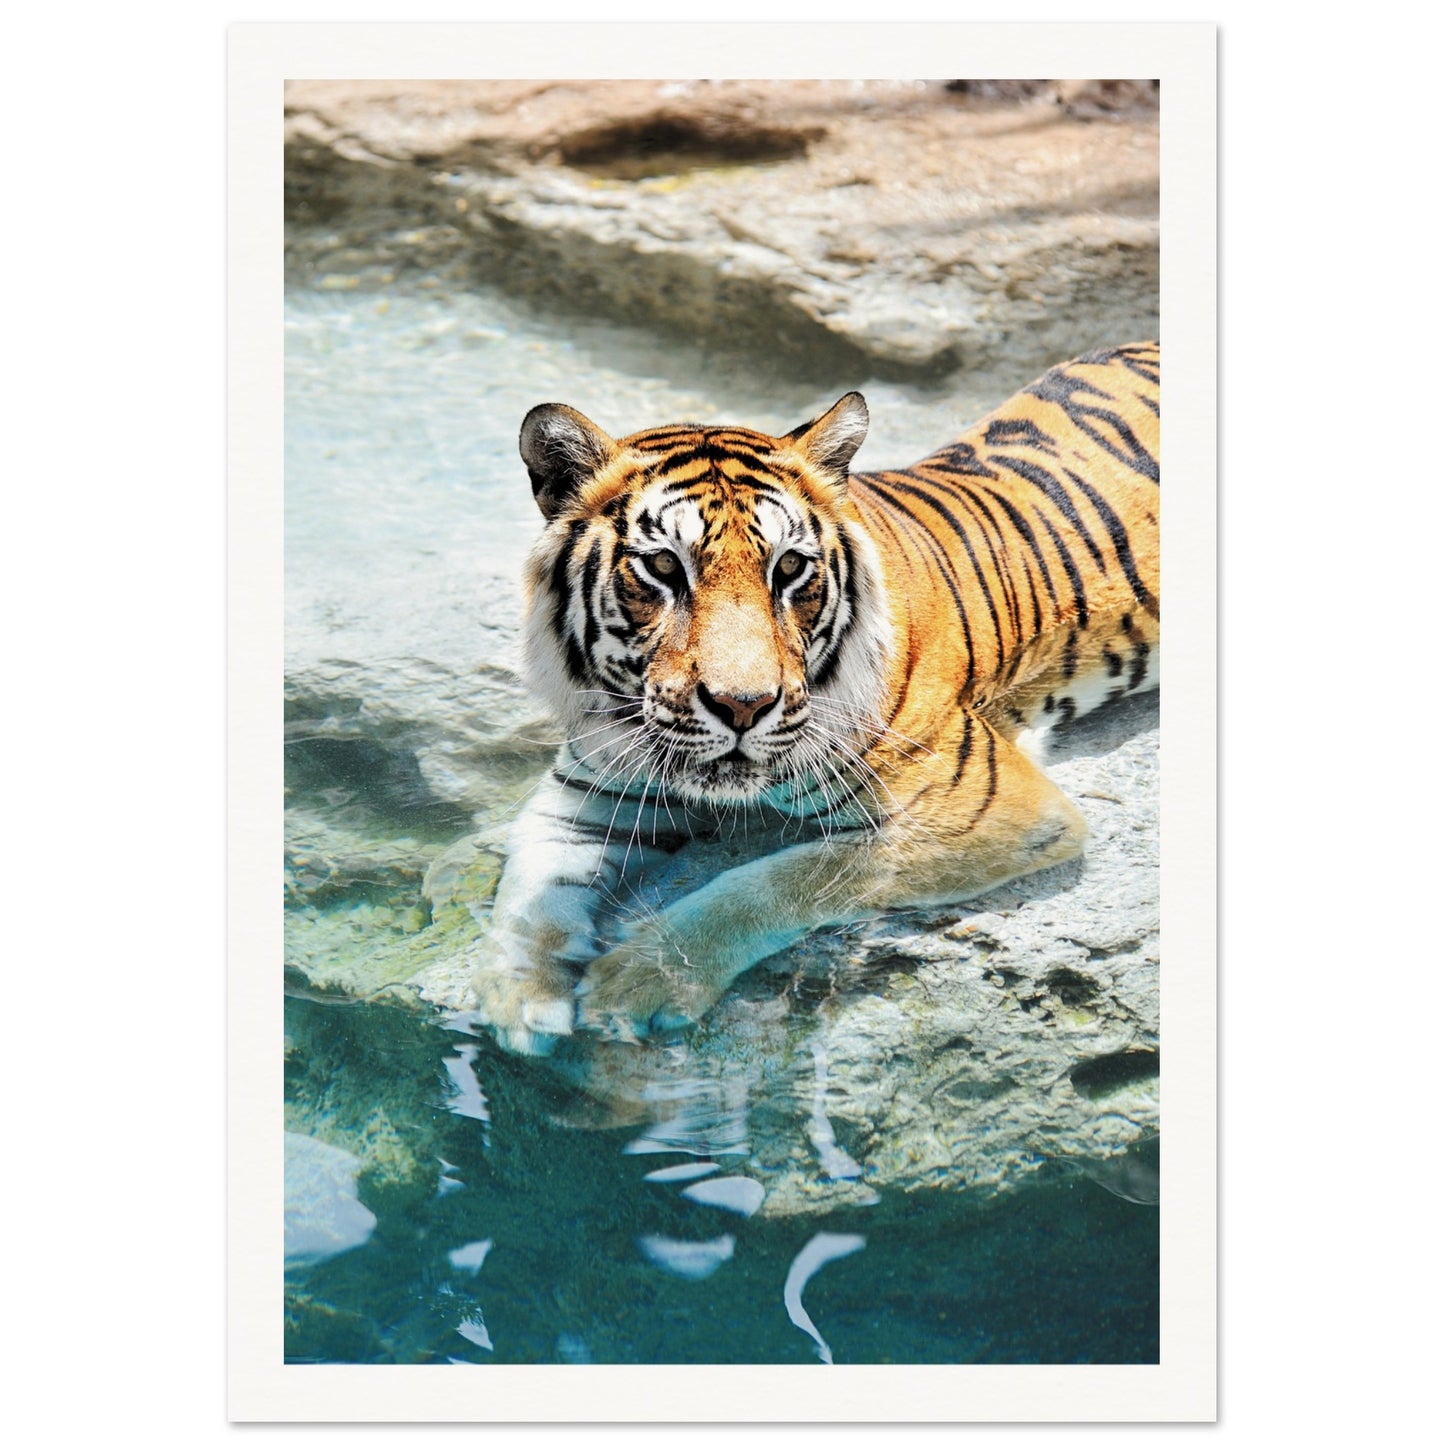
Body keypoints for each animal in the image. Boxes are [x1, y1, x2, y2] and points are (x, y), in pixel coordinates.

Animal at [472, 341, 1160, 1055]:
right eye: (663, 567)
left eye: (789, 568)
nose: (743, 706)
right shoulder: (588, 790)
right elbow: (529, 886)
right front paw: (515, 998)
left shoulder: (989, 810)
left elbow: (777, 879)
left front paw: (640, 979)